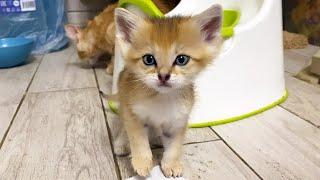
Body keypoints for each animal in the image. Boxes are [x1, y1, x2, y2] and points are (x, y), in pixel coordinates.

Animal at [114, 4, 222, 177]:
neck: (161, 98)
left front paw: (171, 164)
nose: (163, 76)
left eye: (182, 59)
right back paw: (121, 143)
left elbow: (174, 147)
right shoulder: (134, 115)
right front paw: (142, 162)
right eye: (148, 59)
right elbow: (138, 140)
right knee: (124, 128)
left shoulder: (178, 122)